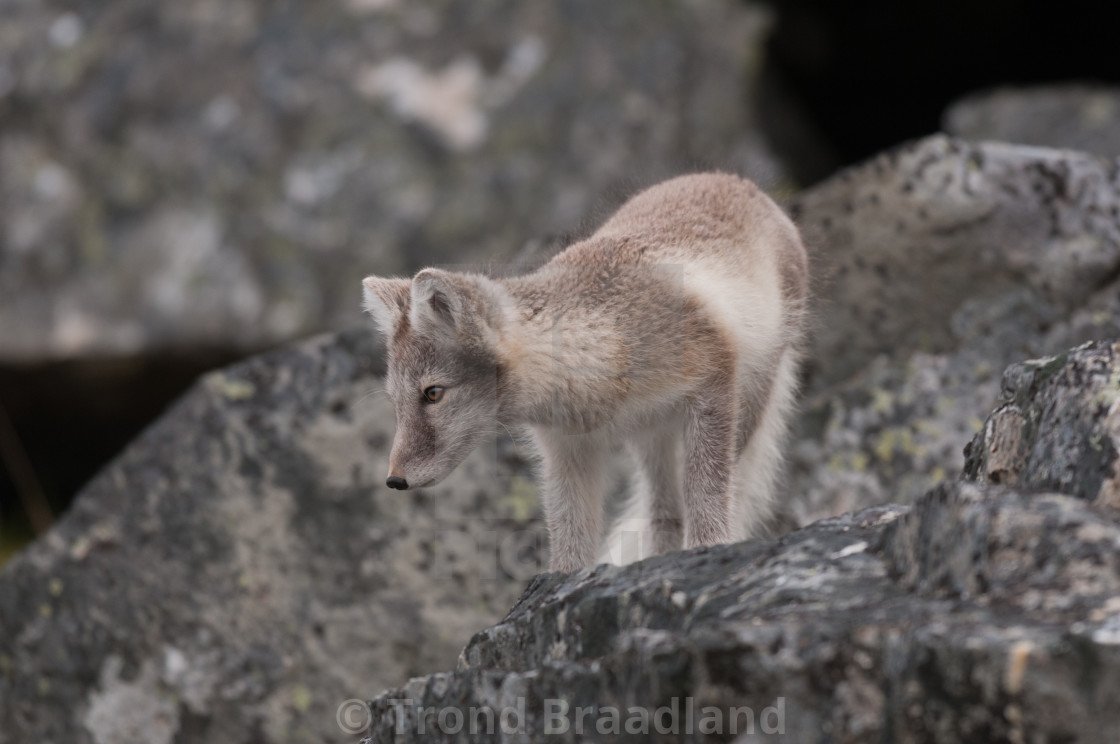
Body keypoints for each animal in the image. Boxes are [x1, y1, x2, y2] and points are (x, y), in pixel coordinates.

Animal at [362, 171, 810, 571]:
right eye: (396, 402)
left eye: (433, 393)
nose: (393, 481)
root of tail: (735, 179)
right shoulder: (567, 451)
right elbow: (569, 544)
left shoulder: (710, 390)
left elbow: (708, 500)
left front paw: (707, 551)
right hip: (651, 439)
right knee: (663, 510)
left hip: (740, 408)